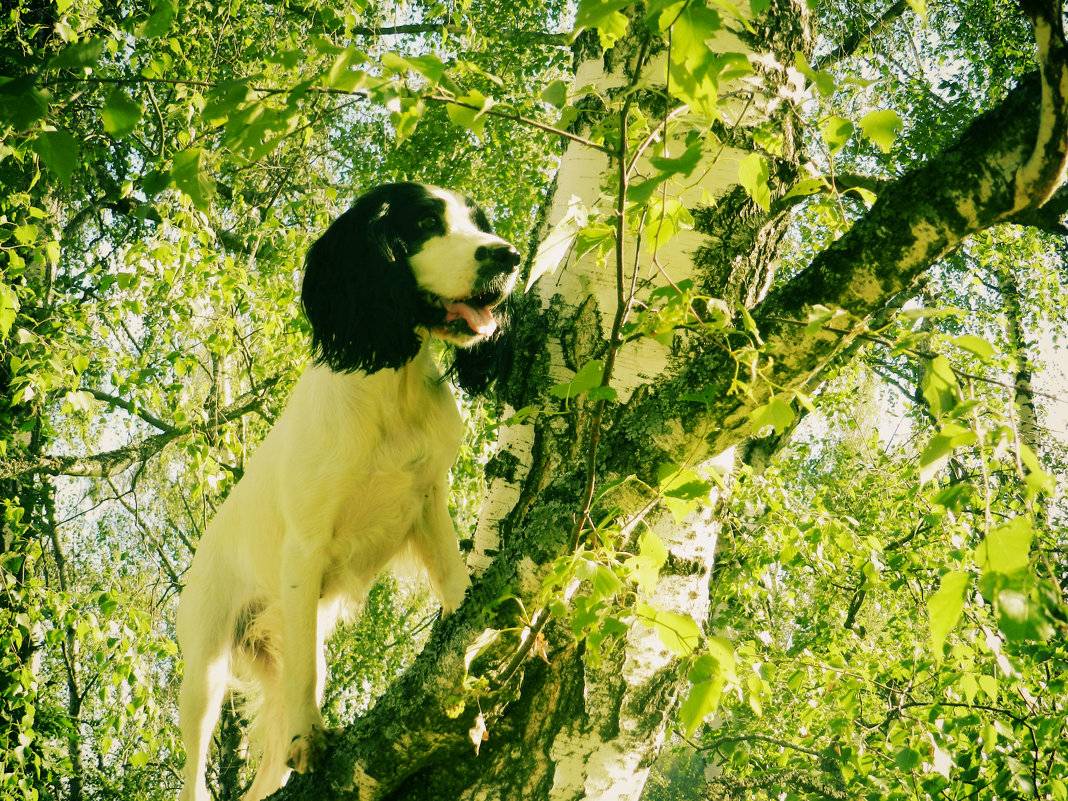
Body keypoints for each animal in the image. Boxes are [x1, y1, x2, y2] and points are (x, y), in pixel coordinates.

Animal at [175, 183, 521, 801]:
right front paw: (312, 738)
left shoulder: (428, 503)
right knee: (193, 772)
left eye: (478, 221)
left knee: (268, 766)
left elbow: (455, 583)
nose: (508, 255)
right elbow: (306, 686)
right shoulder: (305, 547)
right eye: (424, 223)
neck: (390, 388)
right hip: (205, 673)